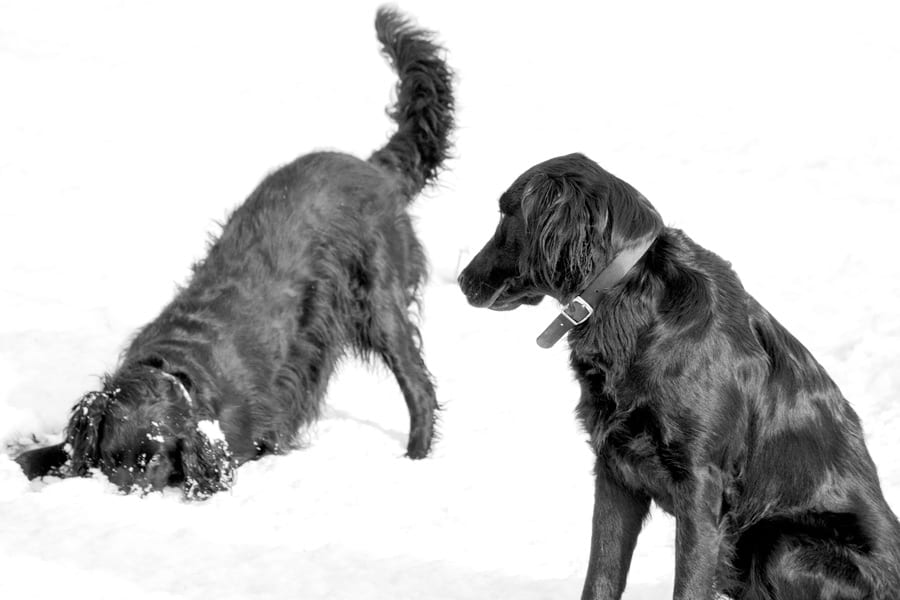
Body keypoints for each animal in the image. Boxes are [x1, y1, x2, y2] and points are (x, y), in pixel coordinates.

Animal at [19, 7, 458, 500]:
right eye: (111, 457)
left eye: (154, 461)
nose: (122, 498)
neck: (177, 365)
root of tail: (372, 167)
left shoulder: (245, 440)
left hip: (378, 301)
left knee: (419, 388)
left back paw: (415, 460)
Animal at [460, 154, 896, 600]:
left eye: (506, 214)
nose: (462, 281)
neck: (630, 301)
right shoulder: (615, 469)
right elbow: (601, 575)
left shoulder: (700, 481)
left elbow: (688, 583)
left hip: (780, 542)